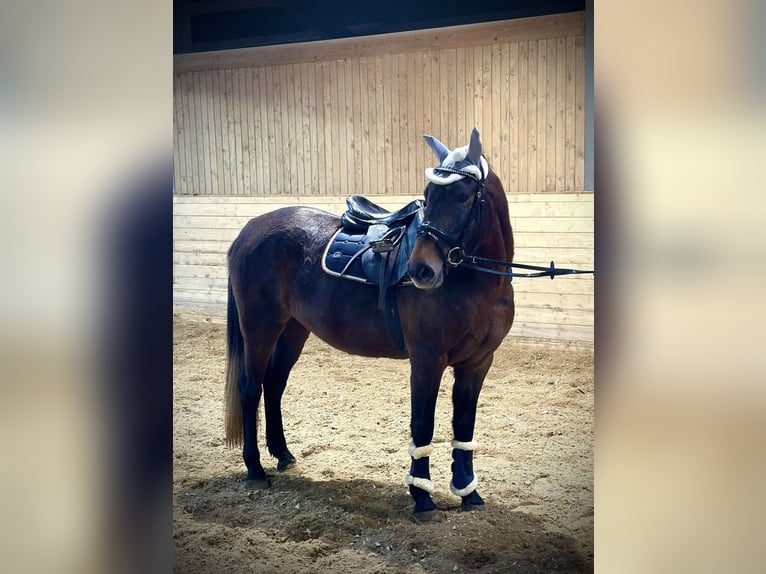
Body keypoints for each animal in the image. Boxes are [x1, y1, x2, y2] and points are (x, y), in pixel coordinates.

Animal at [225, 130, 520, 520]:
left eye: (462, 195)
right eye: (427, 195)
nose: (420, 270)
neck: (475, 281)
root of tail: (249, 231)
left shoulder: (477, 363)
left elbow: (464, 425)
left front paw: (468, 491)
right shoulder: (427, 359)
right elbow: (423, 425)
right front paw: (422, 497)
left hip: (292, 330)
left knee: (273, 386)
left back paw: (283, 455)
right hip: (260, 327)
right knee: (250, 388)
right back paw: (255, 470)